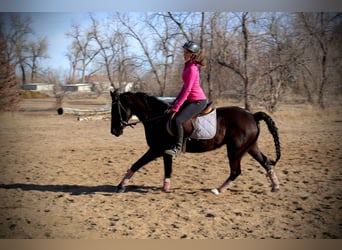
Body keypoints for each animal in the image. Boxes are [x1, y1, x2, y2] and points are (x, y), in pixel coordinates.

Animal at [110, 91, 280, 194]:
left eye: (116, 110)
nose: (114, 131)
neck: (157, 117)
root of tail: (252, 115)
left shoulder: (156, 149)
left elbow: (137, 164)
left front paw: (121, 185)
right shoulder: (164, 151)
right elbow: (167, 169)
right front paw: (165, 187)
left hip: (235, 150)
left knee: (235, 171)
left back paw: (218, 190)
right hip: (250, 147)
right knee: (265, 162)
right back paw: (276, 186)